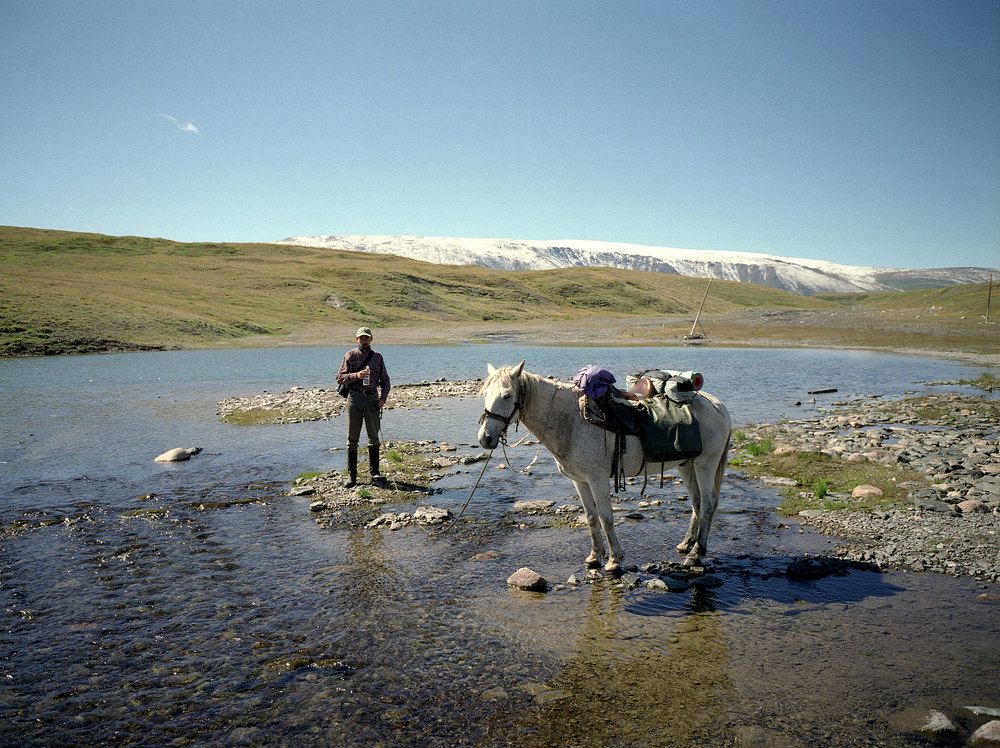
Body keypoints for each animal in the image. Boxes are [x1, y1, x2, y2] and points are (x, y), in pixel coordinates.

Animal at [478, 361, 732, 573]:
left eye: (507, 395)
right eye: (485, 395)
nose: (485, 439)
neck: (573, 422)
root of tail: (719, 407)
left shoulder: (597, 479)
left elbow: (606, 517)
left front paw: (614, 560)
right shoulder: (580, 480)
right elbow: (591, 517)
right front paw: (594, 556)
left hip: (705, 464)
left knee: (708, 504)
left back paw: (696, 554)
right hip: (686, 465)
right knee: (697, 502)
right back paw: (686, 544)